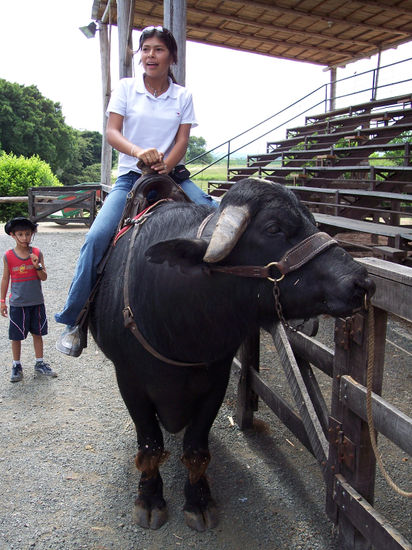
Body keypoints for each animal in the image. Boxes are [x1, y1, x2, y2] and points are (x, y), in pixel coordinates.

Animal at [88, 180, 374, 536]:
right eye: (274, 228)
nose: (362, 282)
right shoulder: (129, 381)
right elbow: (151, 445)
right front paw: (150, 499)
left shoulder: (216, 379)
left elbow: (196, 448)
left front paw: (198, 502)